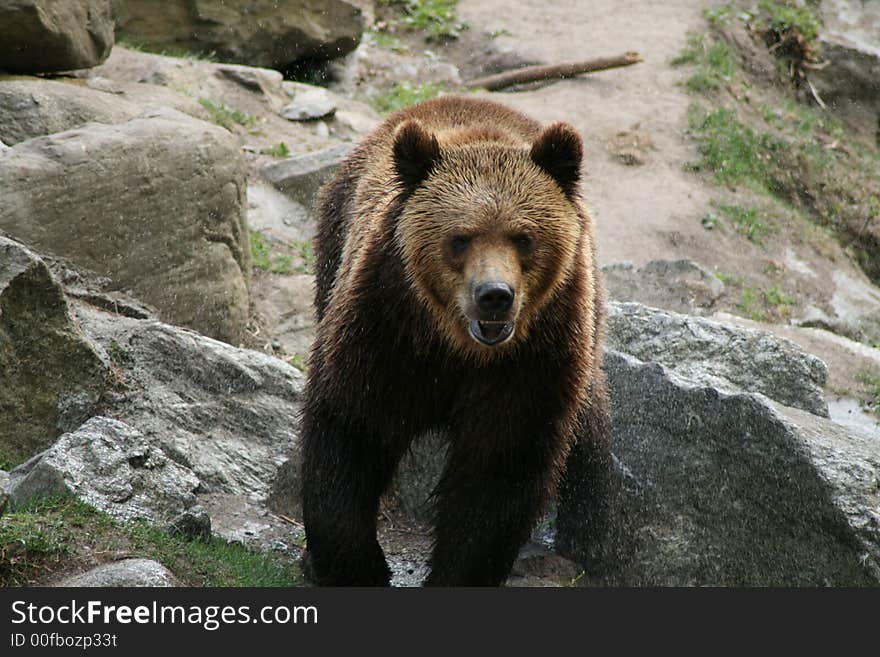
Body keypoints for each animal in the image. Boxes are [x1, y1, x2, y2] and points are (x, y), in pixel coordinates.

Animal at [300, 96, 608, 584]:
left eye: (524, 237)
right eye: (460, 239)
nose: (494, 296)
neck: (458, 348)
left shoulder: (534, 359)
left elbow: (499, 467)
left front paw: (458, 570)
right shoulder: (386, 331)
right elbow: (351, 427)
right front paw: (352, 565)